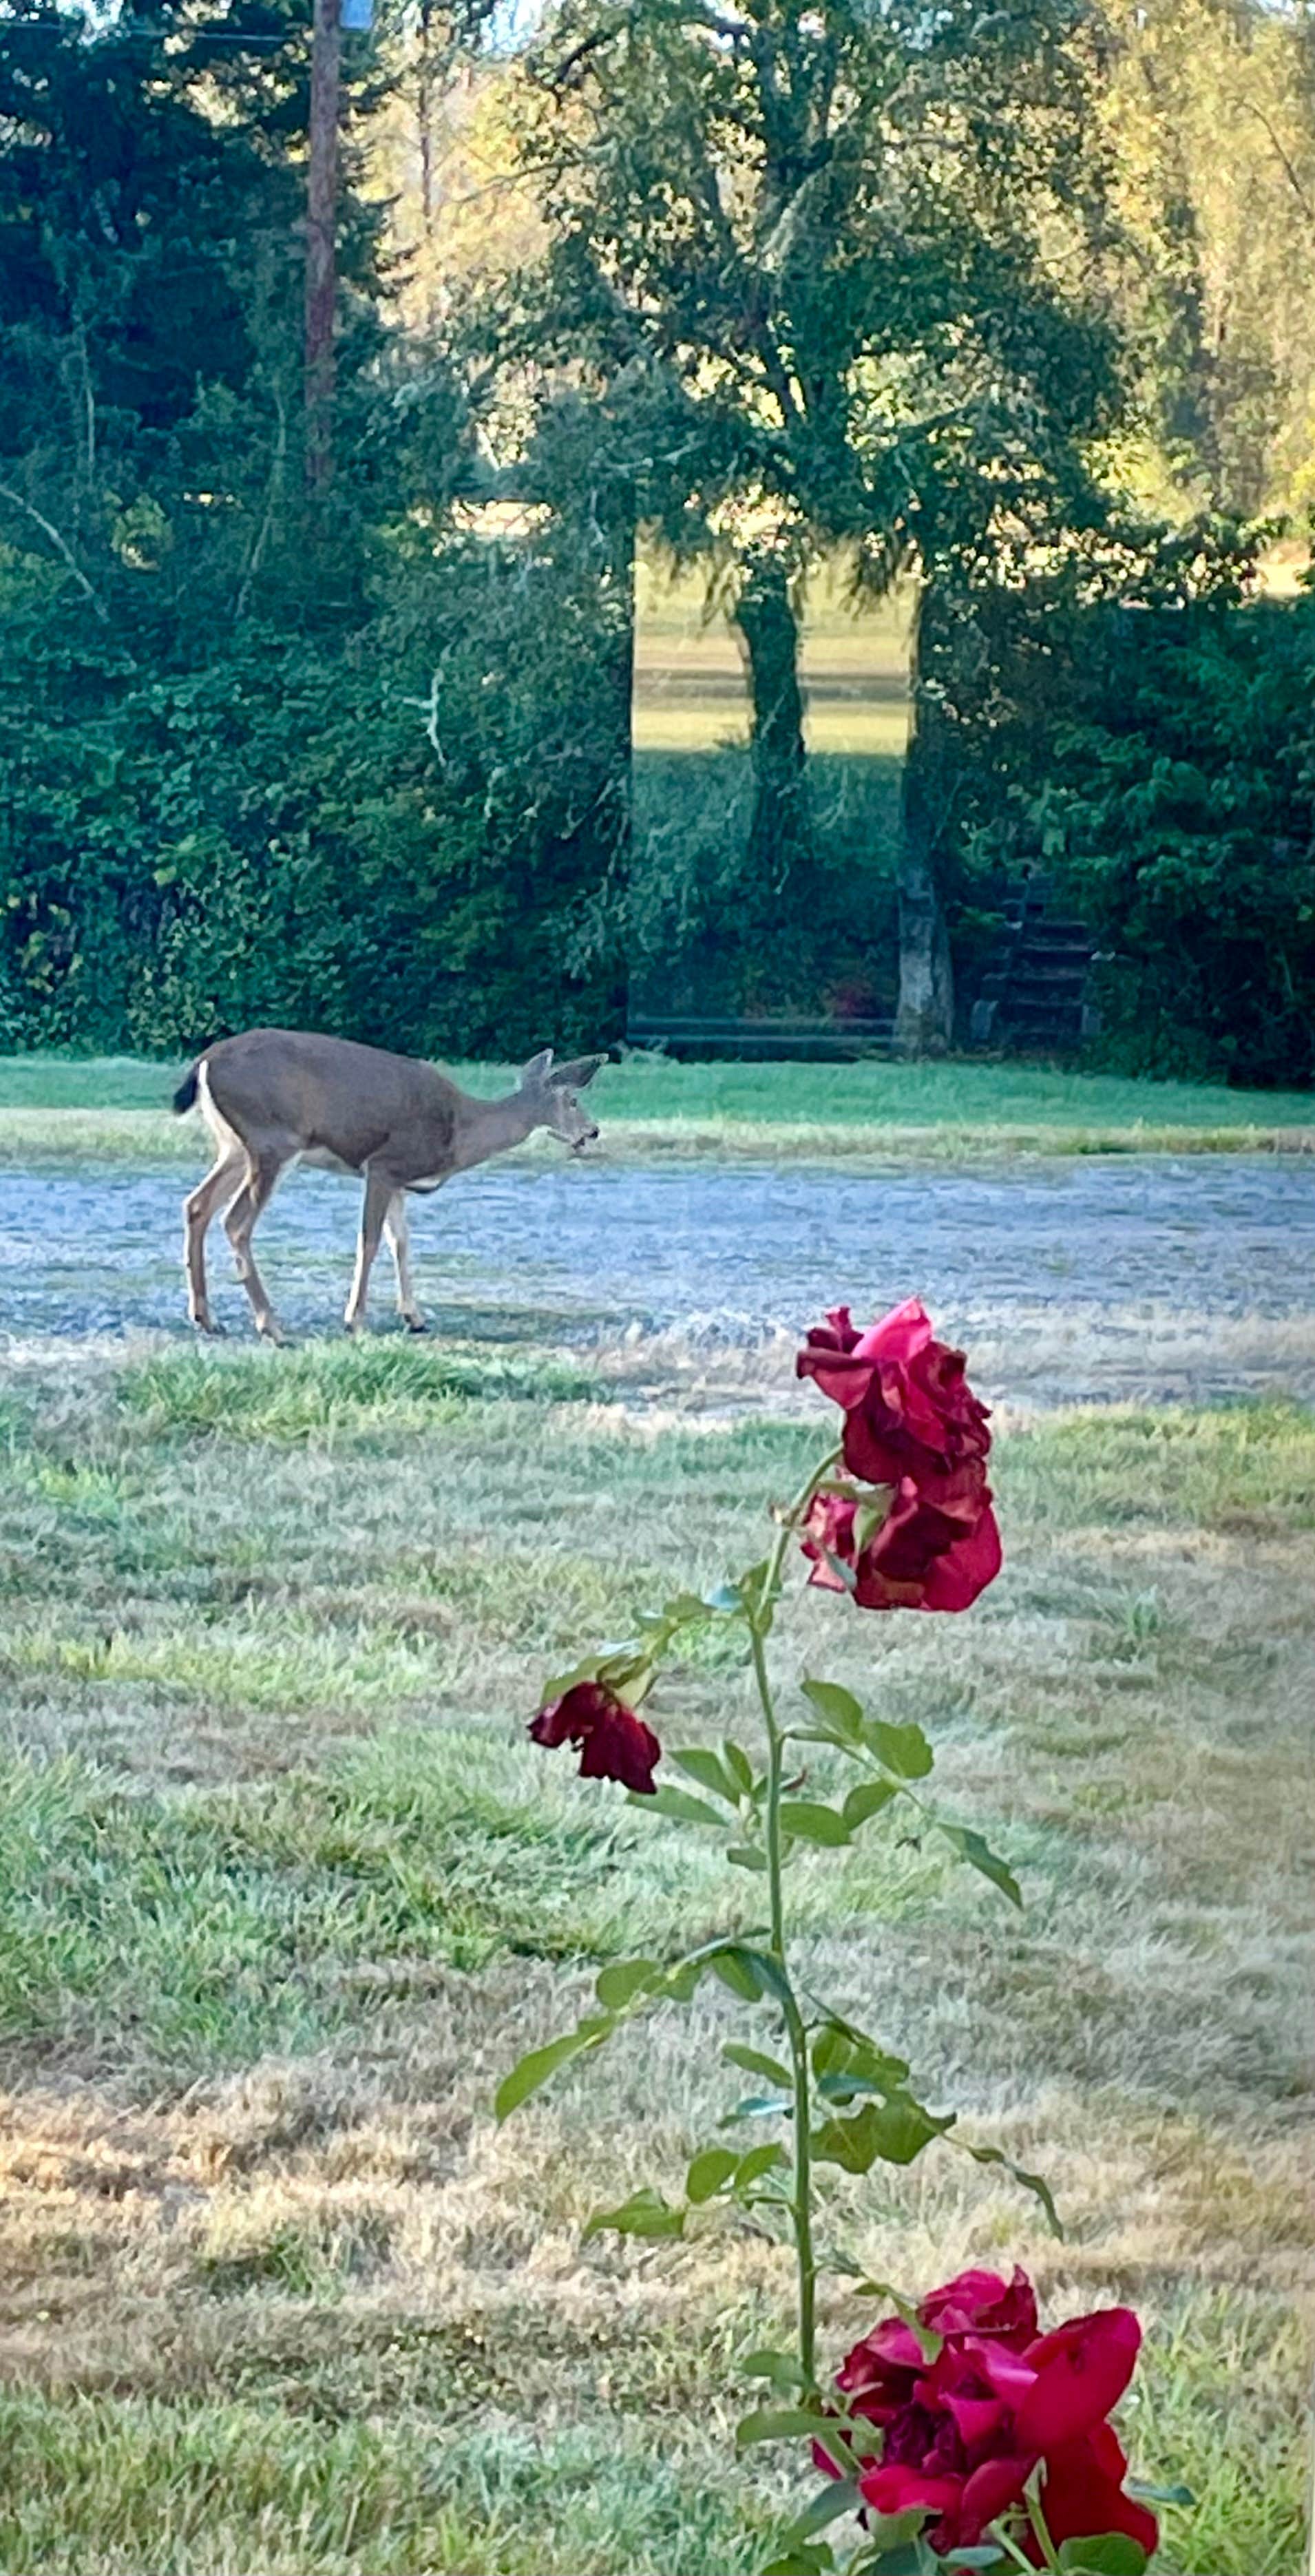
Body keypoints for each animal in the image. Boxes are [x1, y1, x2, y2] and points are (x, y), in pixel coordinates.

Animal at [172, 1025, 604, 1350]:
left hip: (234, 1147)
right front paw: (355, 1320)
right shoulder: (382, 1165)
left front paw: (415, 1317)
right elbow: (370, 1240)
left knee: (197, 1205)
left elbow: (402, 1241)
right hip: (273, 1141)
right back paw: (272, 1327)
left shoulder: (399, 1179)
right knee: (236, 1221)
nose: (594, 1131)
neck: (459, 1132)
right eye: (573, 1100)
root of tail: (204, 1063)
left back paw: (206, 1318)